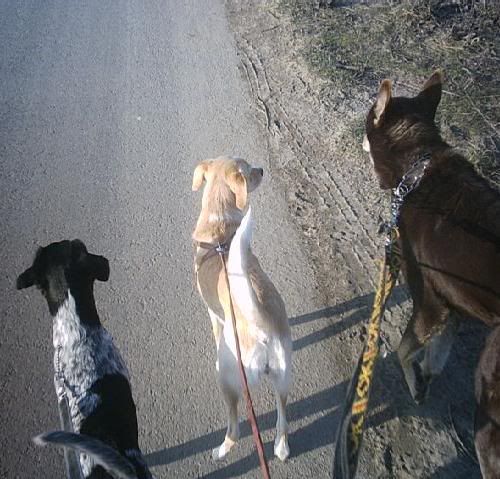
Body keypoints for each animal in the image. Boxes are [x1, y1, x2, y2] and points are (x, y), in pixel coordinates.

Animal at [192, 156, 292, 461]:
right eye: (250, 172)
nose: (262, 170)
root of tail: (263, 326)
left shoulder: (214, 316)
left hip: (226, 375)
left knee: (234, 427)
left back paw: (221, 450)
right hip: (283, 376)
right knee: (283, 417)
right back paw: (281, 447)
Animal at [363, 71, 500, 478]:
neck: (416, 169)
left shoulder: (429, 302)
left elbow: (404, 347)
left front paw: (414, 381)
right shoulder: (450, 305)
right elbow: (437, 353)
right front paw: (425, 375)